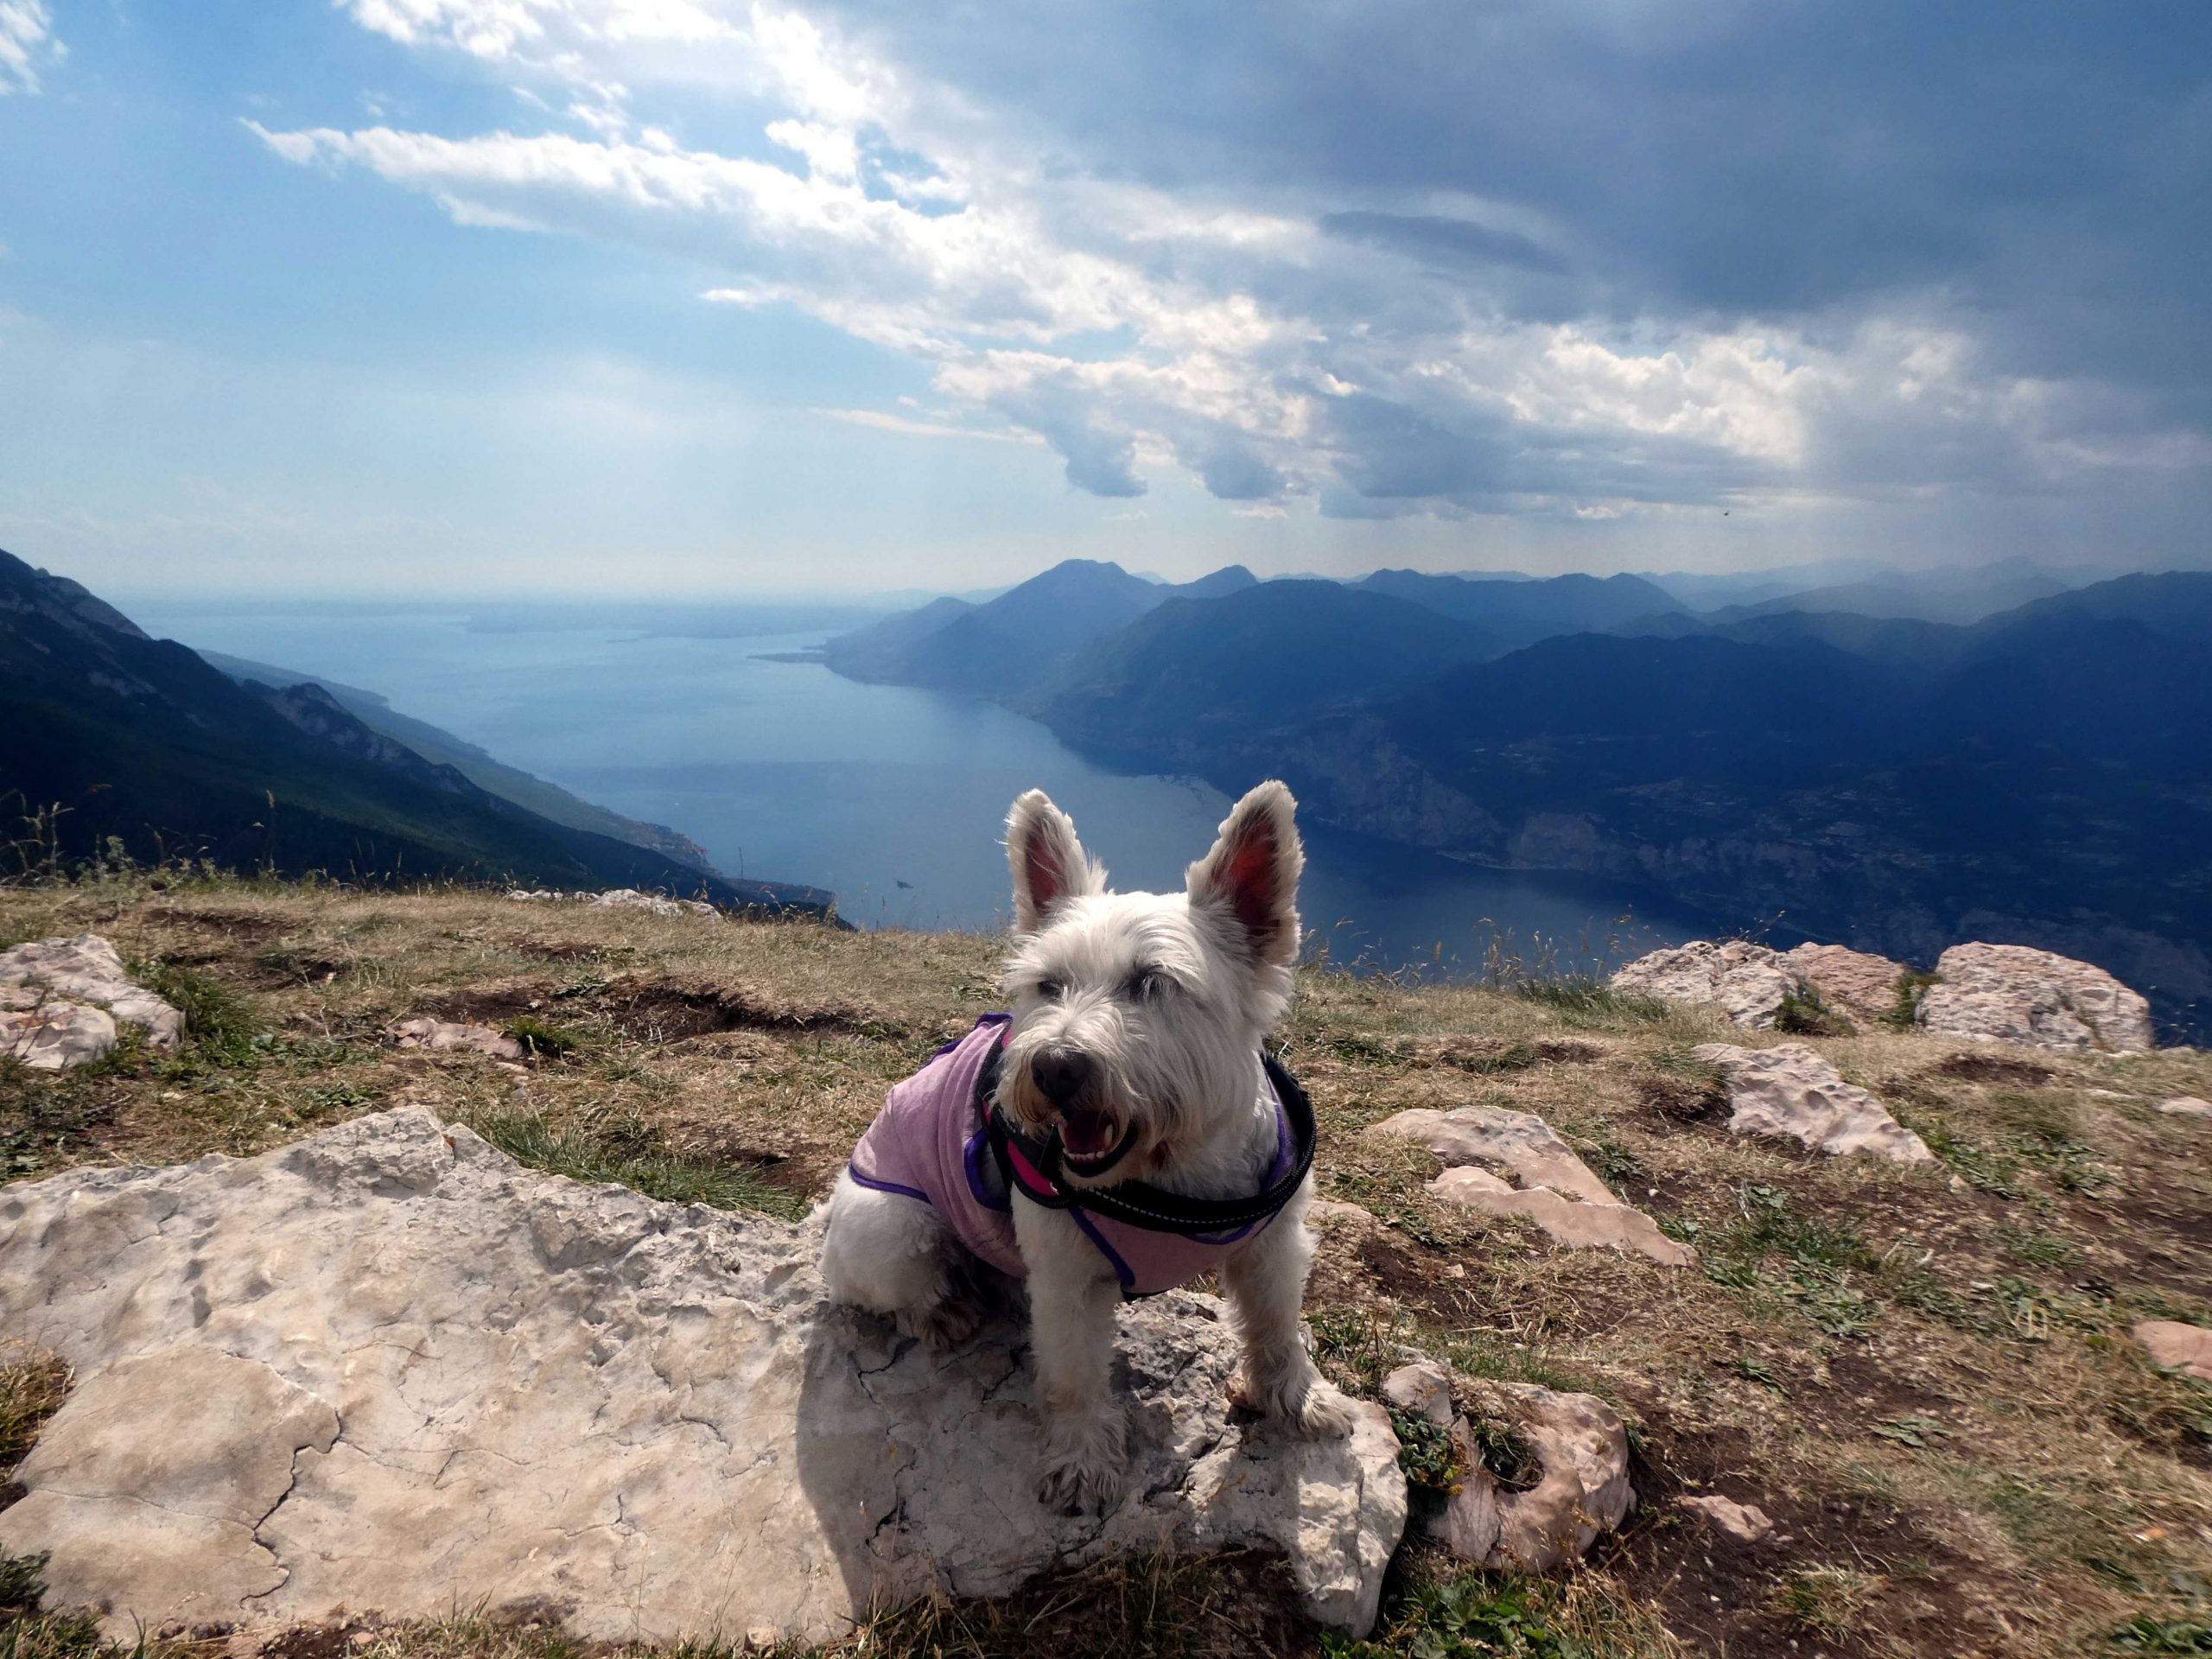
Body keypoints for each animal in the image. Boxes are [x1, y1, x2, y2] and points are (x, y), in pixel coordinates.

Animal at [823, 779, 1353, 1522]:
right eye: (1048, 984)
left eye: (1153, 982)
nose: (1054, 1068)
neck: (1174, 1170)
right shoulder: (1067, 1279)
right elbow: (1073, 1376)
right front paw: (1080, 1464)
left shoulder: (1273, 1247)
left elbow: (1277, 1325)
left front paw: (1299, 1400)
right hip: (894, 1227)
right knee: (892, 1289)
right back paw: (943, 1310)